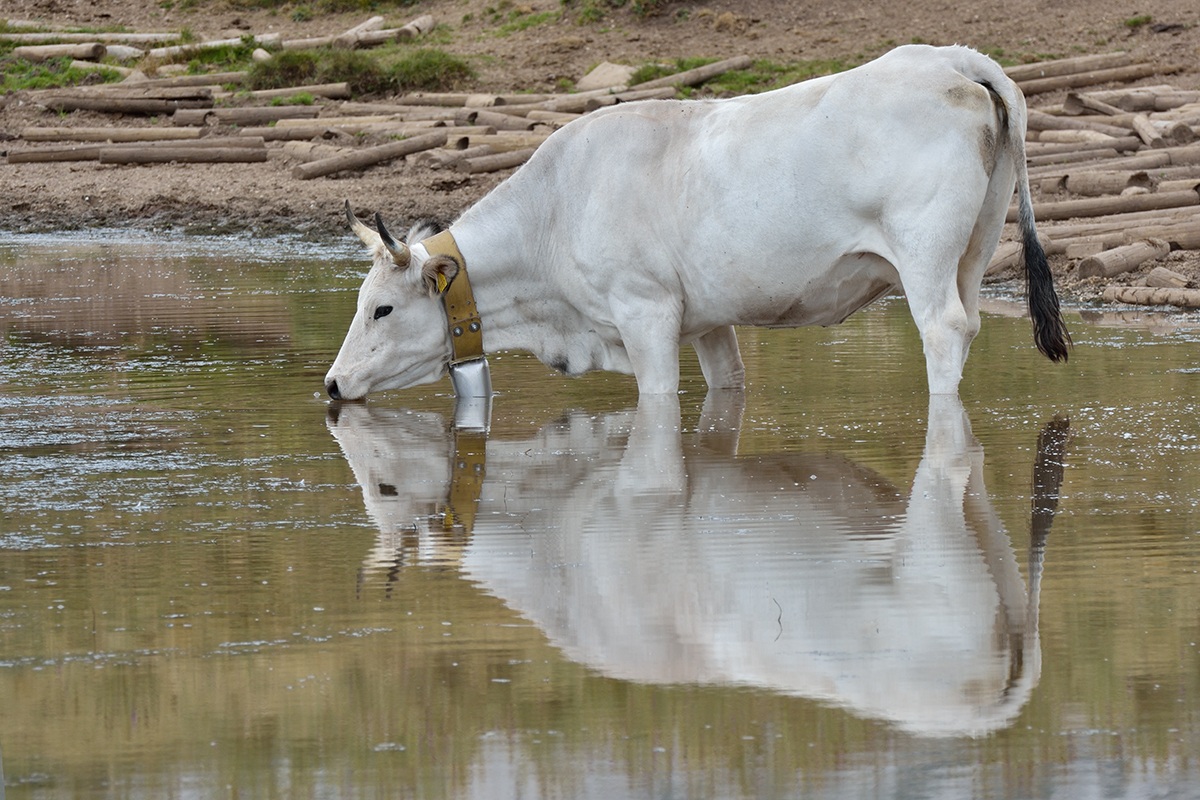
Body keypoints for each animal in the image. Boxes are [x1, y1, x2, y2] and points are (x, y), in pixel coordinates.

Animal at [325, 44, 1070, 402]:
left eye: (382, 308)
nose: (331, 384)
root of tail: (948, 56)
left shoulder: (645, 314)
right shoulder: (709, 322)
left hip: (923, 254)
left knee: (943, 331)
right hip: (974, 250)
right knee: (968, 323)